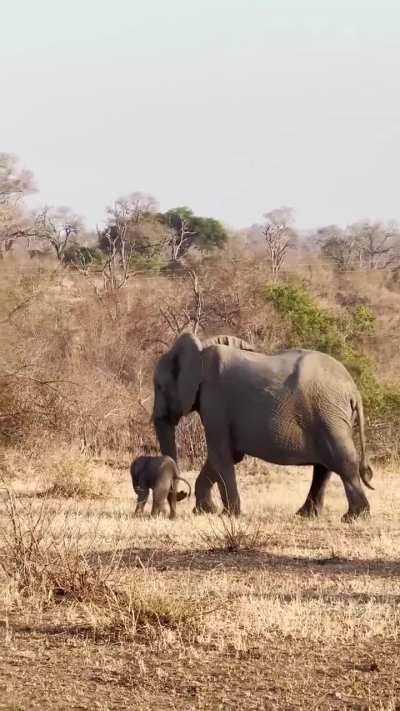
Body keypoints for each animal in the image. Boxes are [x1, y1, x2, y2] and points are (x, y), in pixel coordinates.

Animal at [152, 333, 374, 521]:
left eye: (159, 387)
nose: (181, 495)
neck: (200, 349)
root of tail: (354, 390)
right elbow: (230, 455)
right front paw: (205, 512)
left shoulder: (215, 401)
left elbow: (220, 454)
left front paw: (227, 515)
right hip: (327, 415)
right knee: (324, 466)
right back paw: (306, 515)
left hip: (328, 413)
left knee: (342, 460)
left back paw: (354, 517)